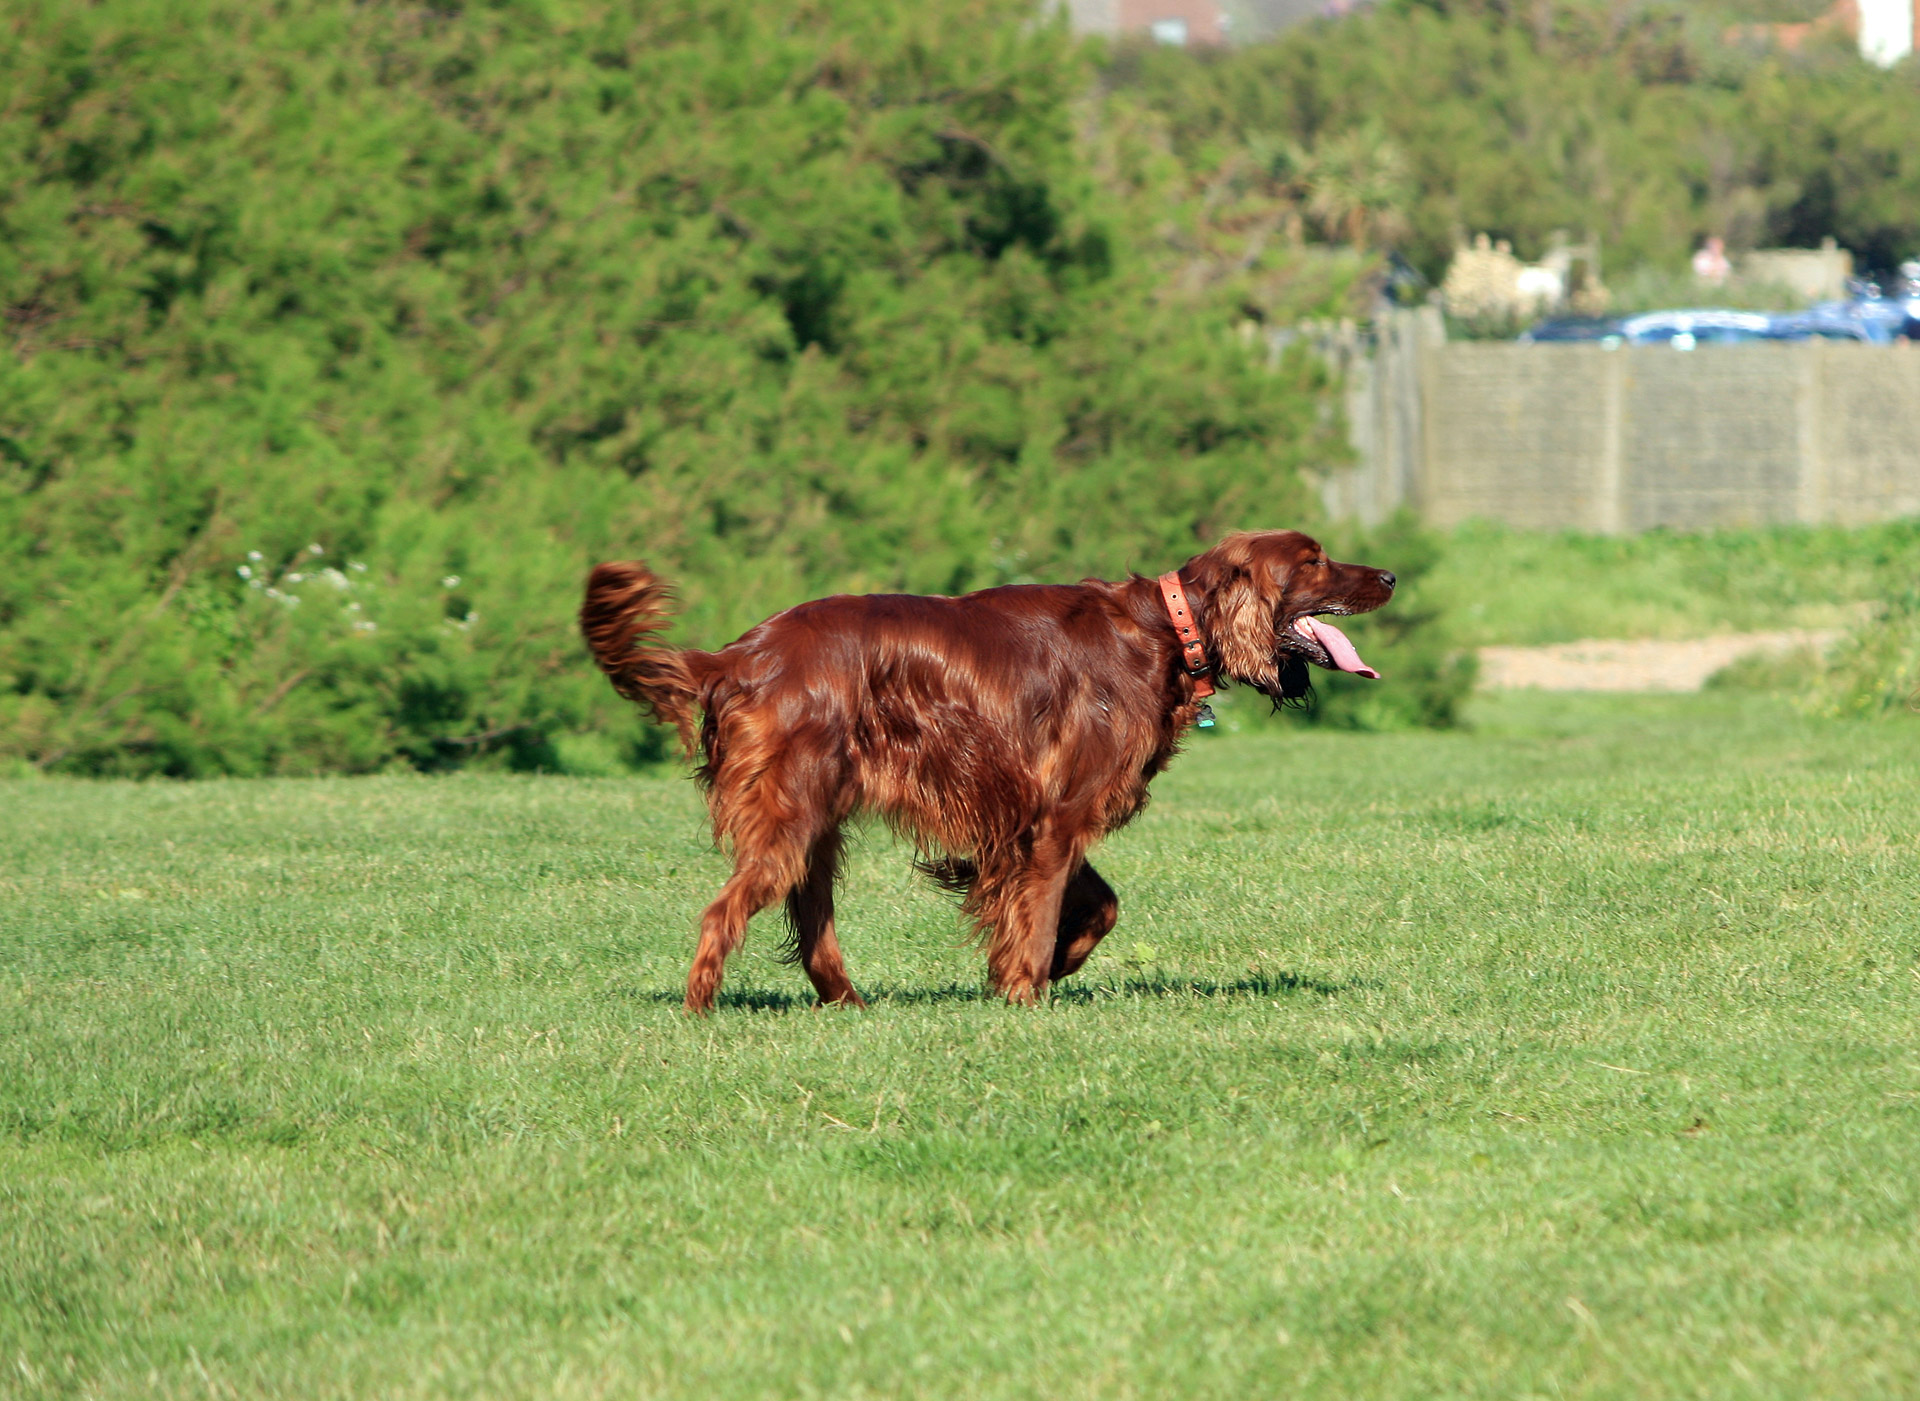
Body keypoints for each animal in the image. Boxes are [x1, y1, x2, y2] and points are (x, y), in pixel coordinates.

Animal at [572, 529, 1397, 1013]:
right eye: (1315, 560)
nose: (1390, 575)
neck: (1167, 629)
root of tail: (739, 654)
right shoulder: (1057, 821)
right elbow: (1045, 915)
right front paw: (1026, 992)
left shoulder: (1034, 820)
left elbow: (1094, 908)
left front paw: (1038, 970)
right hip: (790, 814)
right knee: (724, 911)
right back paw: (701, 1008)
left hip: (815, 823)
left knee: (811, 923)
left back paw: (849, 1001)